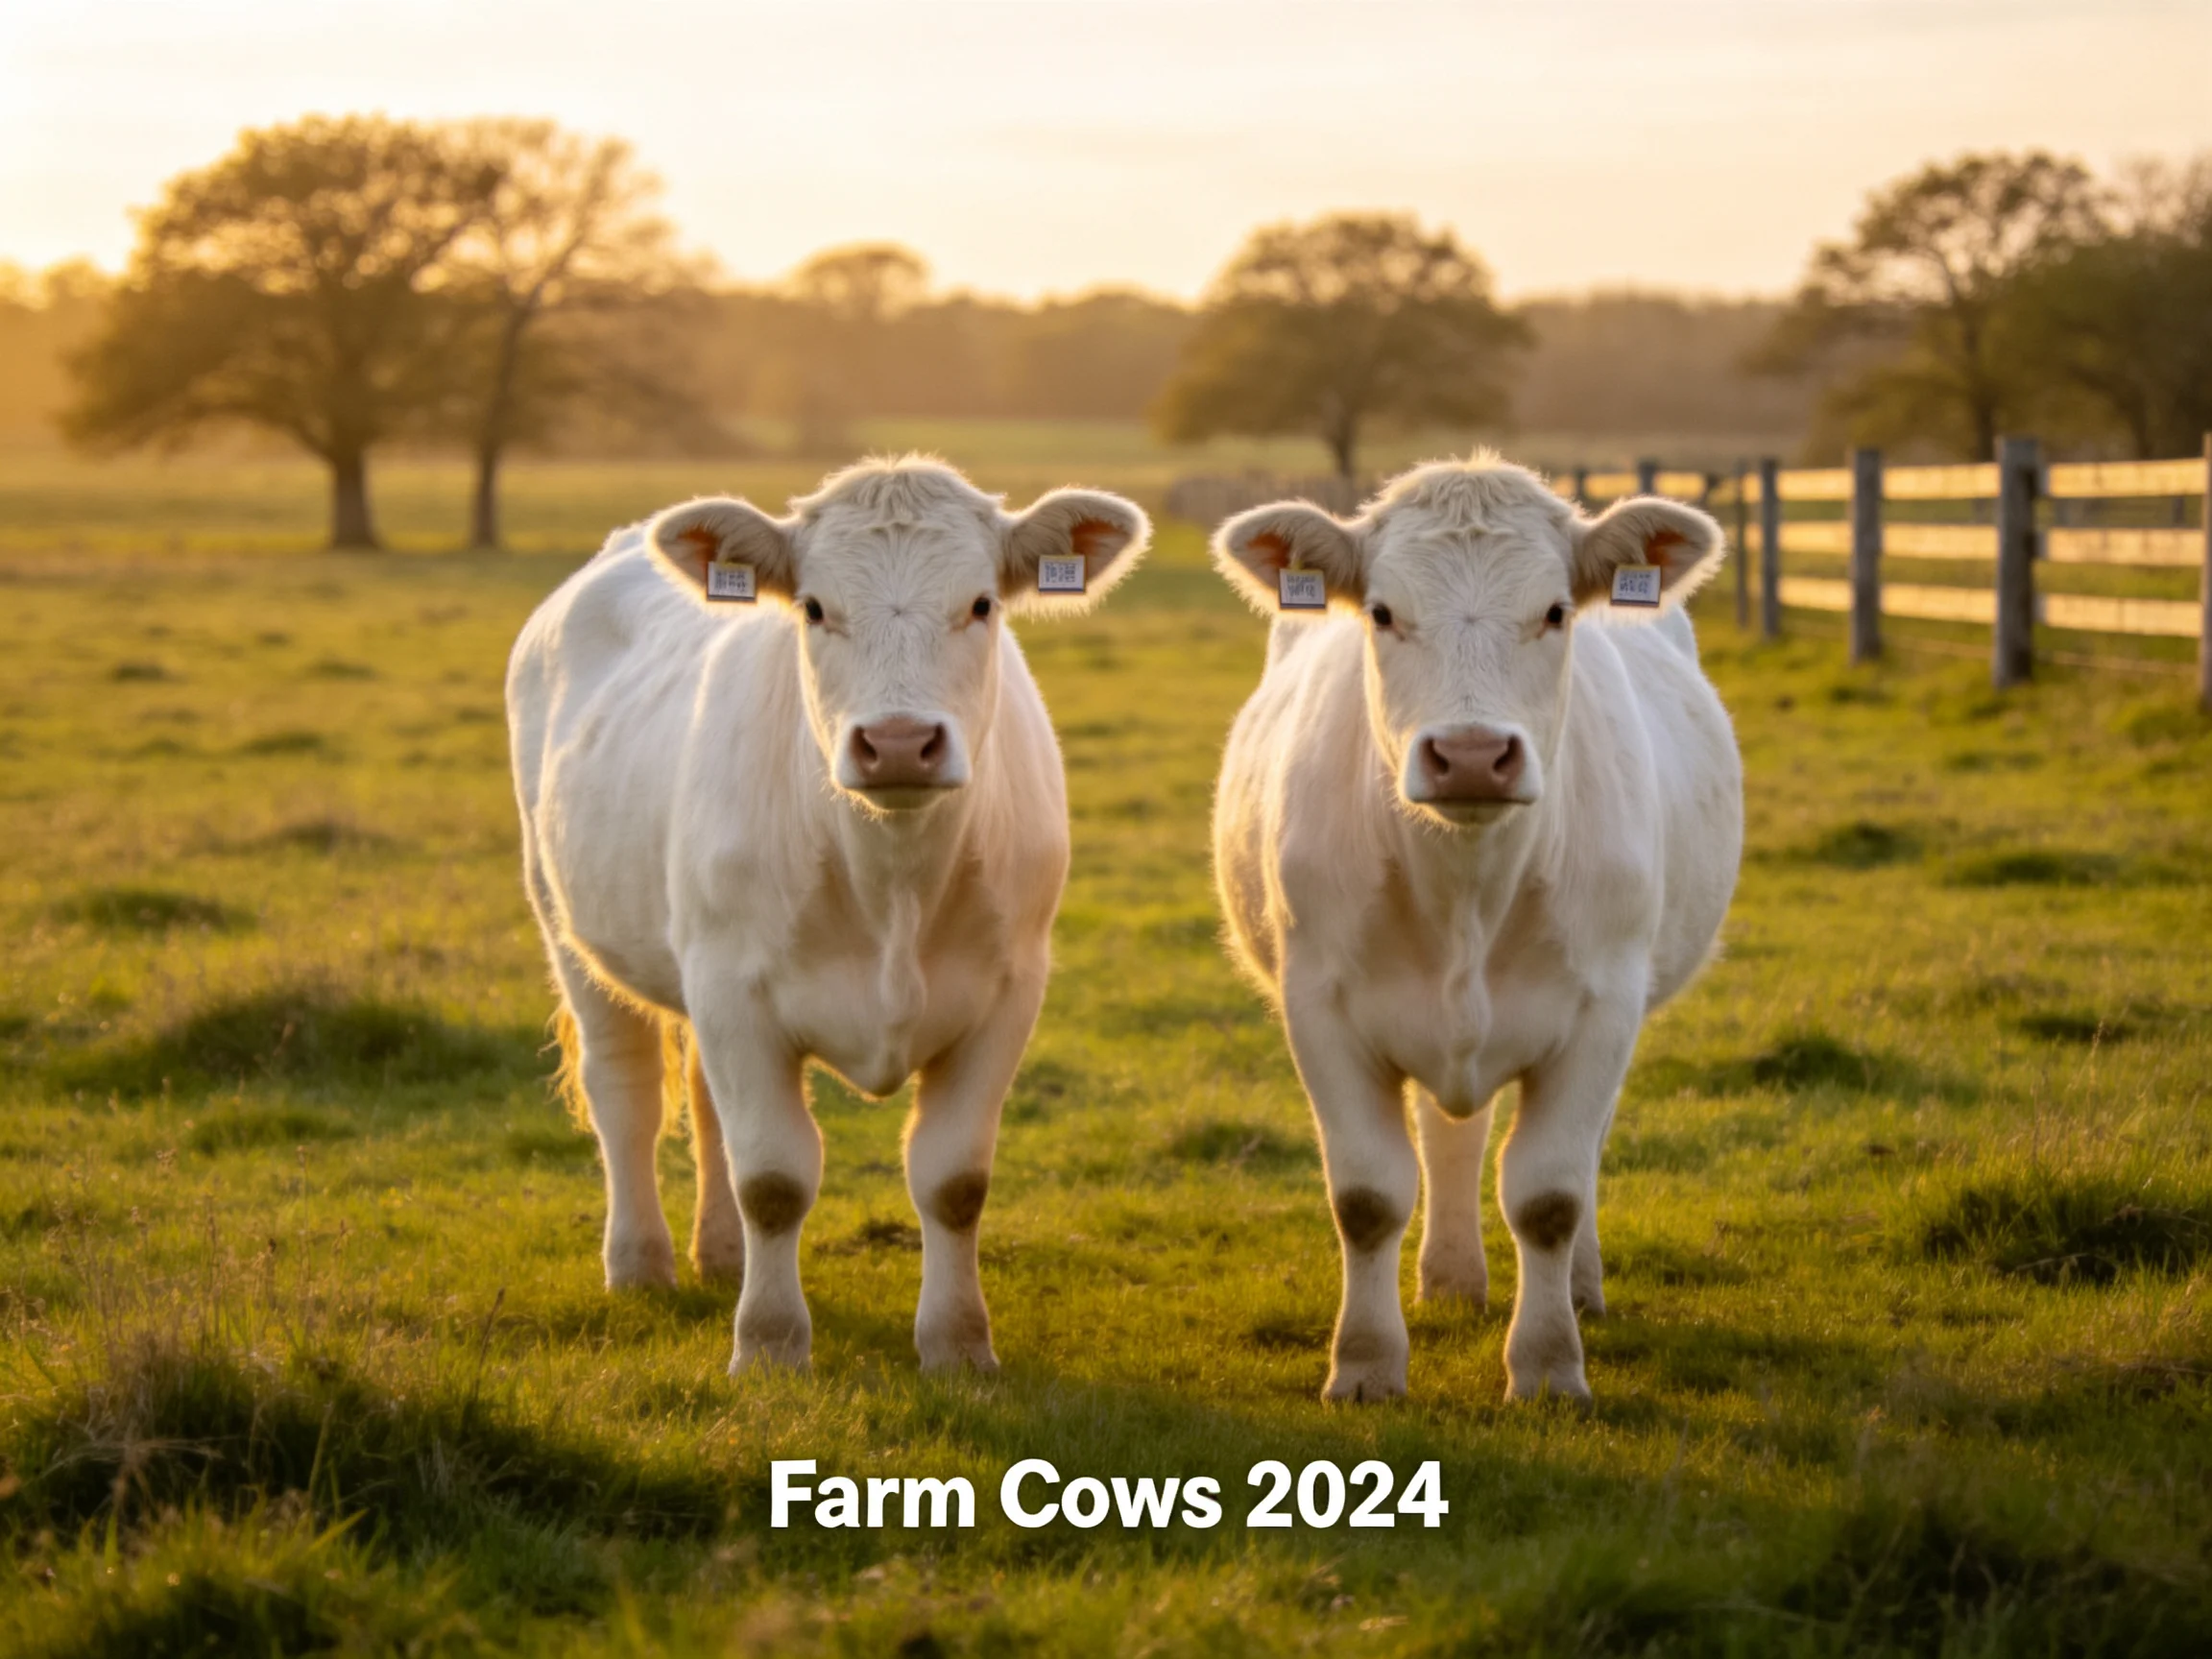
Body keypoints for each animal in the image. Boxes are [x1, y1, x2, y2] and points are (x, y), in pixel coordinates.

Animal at [506, 456, 1148, 1375]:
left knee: (704, 1101)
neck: (892, 881)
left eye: (981, 603)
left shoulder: (1007, 993)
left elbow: (954, 1181)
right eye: (812, 607)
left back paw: (720, 1256)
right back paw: (639, 1264)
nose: (900, 742)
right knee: (624, 1091)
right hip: (569, 926)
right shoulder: (735, 993)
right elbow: (774, 1179)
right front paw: (771, 1346)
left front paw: (959, 1346)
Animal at [1208, 454, 1742, 1403]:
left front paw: (1549, 1368)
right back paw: (1453, 1277)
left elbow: (1550, 1195)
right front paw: (1365, 1365)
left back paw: (1578, 1287)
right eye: (1382, 612)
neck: (1465, 889)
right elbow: (1368, 1195)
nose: (1467, 756)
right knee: (1450, 1136)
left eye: (1557, 611)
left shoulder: (1603, 1009)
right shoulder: (1322, 1008)